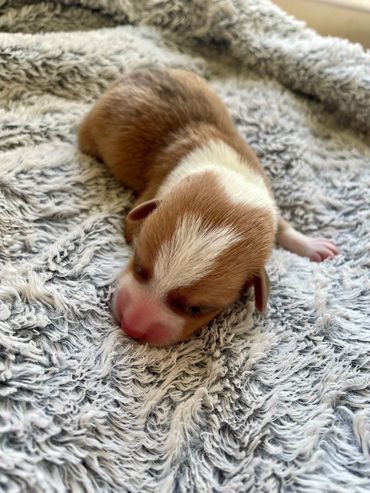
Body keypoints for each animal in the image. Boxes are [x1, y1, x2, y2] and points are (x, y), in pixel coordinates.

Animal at [79, 67, 338, 344]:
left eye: (197, 309)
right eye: (138, 265)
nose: (130, 326)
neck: (232, 178)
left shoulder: (266, 197)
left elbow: (283, 227)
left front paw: (313, 245)